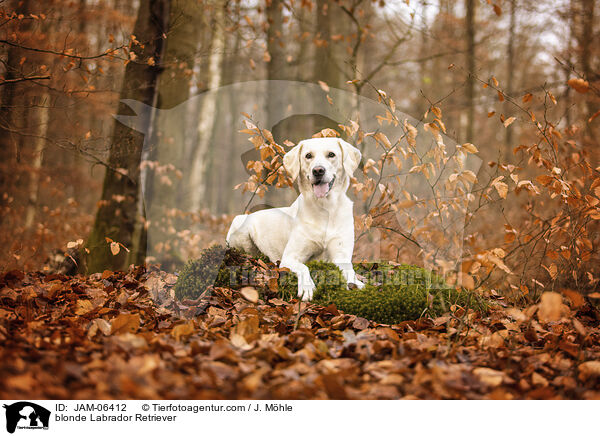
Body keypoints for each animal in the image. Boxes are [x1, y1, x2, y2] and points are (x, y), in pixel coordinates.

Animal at [226, 136, 364, 300]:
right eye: (308, 156)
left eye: (331, 154)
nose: (318, 170)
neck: (325, 208)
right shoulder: (289, 257)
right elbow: (303, 267)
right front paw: (307, 287)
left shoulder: (341, 255)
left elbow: (350, 271)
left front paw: (357, 283)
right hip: (241, 228)